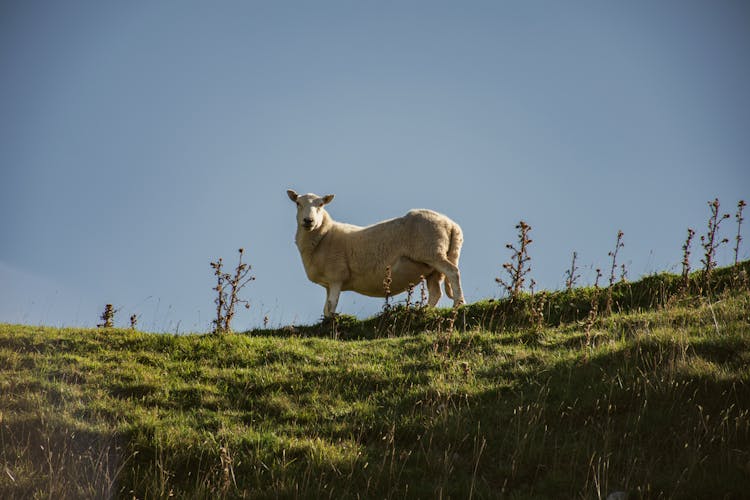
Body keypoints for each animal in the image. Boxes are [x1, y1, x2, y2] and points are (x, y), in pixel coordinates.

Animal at [286, 189, 464, 318]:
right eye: (298, 203)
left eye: (321, 204)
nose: (308, 221)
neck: (324, 235)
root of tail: (451, 224)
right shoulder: (329, 283)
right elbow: (326, 308)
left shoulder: (336, 276)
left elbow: (331, 306)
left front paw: (330, 322)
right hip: (432, 268)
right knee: (436, 292)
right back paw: (424, 311)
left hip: (432, 253)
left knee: (453, 272)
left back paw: (458, 304)